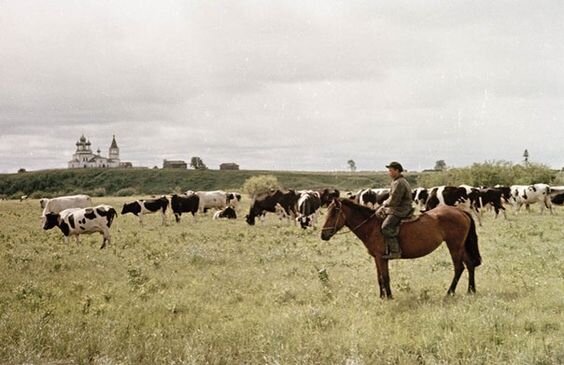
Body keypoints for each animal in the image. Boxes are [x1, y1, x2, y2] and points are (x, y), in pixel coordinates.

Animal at [320, 198, 482, 298]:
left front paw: (389, 297)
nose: (323, 234)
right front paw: (382, 297)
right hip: (460, 246)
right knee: (470, 264)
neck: (372, 226)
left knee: (459, 267)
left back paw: (450, 292)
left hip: (454, 245)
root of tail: (461, 212)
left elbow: (385, 277)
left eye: (334, 213)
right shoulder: (377, 258)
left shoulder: (382, 258)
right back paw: (471, 290)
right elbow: (380, 277)